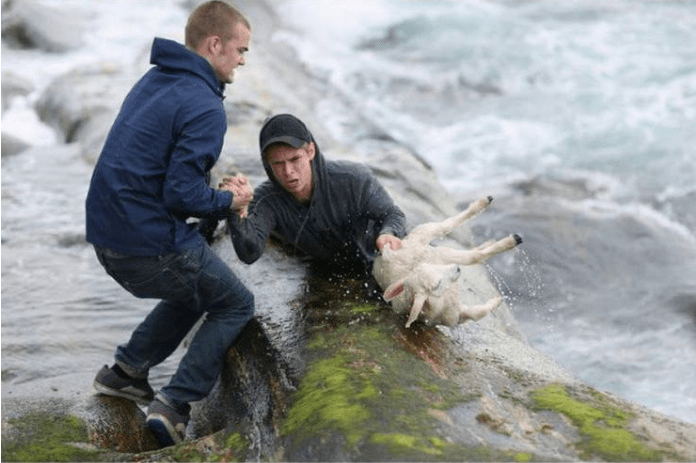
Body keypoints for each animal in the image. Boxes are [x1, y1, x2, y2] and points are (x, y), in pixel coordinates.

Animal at [372, 198, 520, 328]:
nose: (458, 269)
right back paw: (510, 240)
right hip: (433, 247)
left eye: (426, 265)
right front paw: (498, 299)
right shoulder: (457, 316)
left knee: (447, 226)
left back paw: (484, 204)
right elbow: (477, 314)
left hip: (426, 240)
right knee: (468, 251)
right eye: (436, 285)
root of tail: (385, 253)